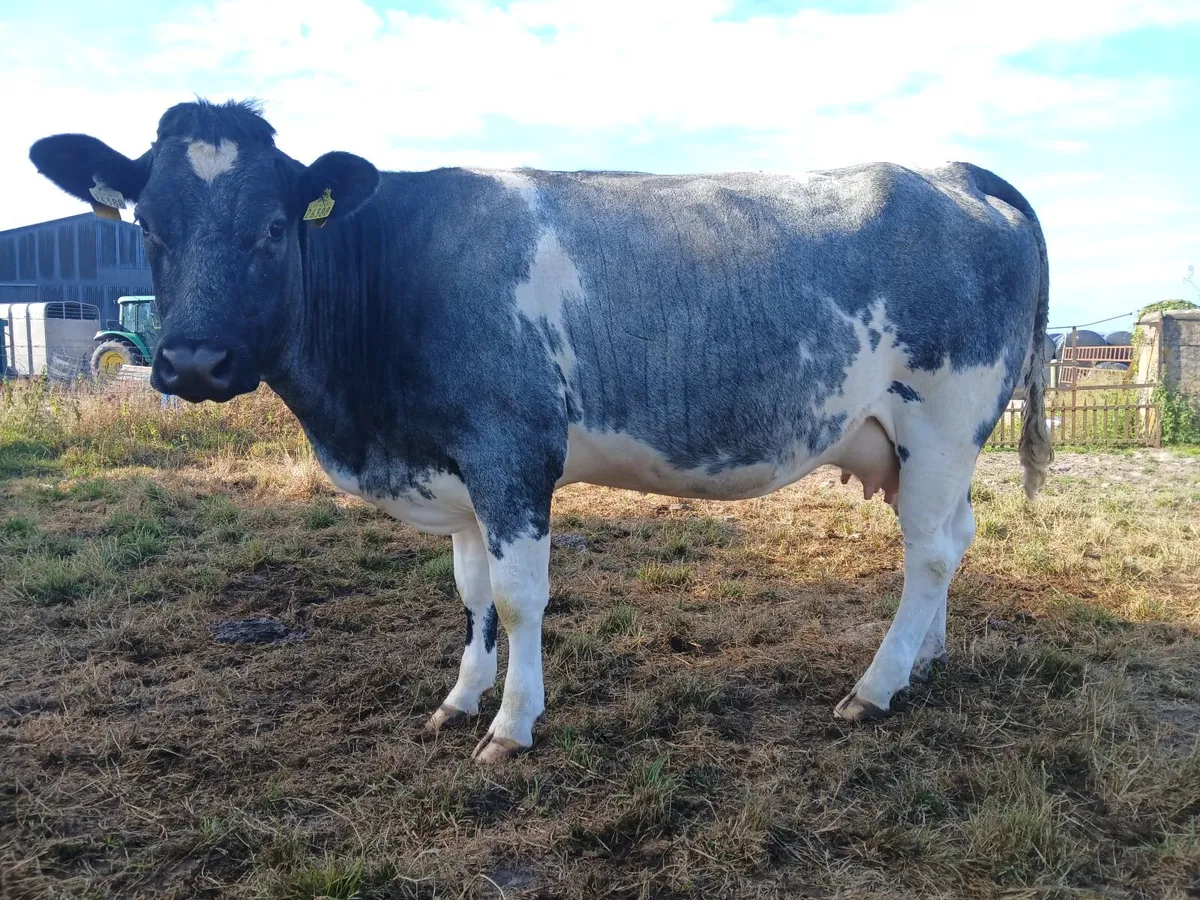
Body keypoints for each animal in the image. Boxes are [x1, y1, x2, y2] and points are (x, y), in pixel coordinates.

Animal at [29, 99, 1053, 763]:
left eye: (276, 227)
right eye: (147, 225)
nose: (195, 362)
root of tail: (955, 172)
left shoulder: (511, 449)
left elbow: (520, 598)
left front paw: (511, 727)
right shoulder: (457, 469)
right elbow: (471, 592)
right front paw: (459, 699)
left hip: (944, 418)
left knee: (927, 552)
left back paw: (875, 687)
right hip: (932, 443)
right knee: (953, 540)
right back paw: (924, 662)